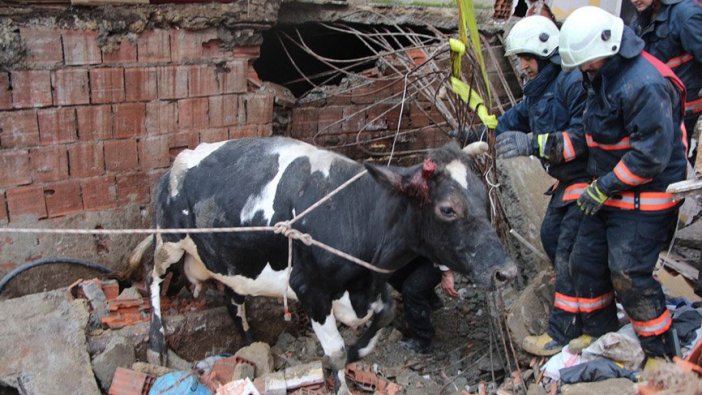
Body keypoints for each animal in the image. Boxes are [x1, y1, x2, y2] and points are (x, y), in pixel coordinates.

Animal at [139, 138, 516, 394]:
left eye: (483, 199)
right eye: (447, 209)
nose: (506, 272)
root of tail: (180, 160)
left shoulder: (371, 284)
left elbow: (385, 316)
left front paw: (352, 353)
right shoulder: (312, 290)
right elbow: (334, 352)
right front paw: (337, 376)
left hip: (233, 261)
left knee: (234, 301)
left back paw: (249, 341)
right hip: (169, 240)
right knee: (152, 278)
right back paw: (157, 343)